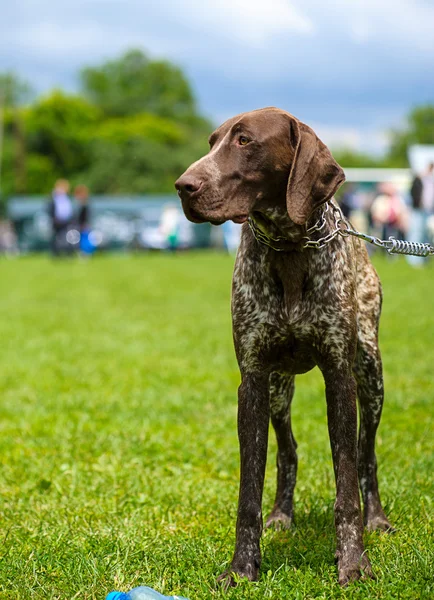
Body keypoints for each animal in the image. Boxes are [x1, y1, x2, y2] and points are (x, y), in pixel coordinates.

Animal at [175, 106, 394, 584]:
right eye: (212, 142)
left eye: (244, 141)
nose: (184, 185)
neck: (290, 247)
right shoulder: (254, 381)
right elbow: (249, 491)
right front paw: (242, 567)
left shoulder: (339, 377)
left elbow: (347, 482)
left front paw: (354, 561)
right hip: (279, 388)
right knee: (288, 451)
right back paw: (282, 514)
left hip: (370, 375)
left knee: (366, 454)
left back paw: (377, 519)